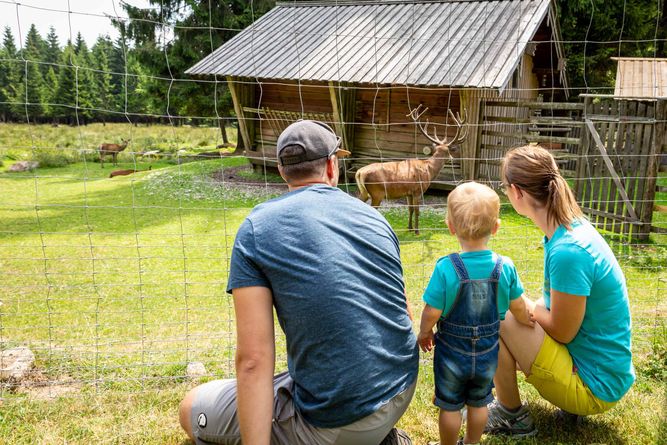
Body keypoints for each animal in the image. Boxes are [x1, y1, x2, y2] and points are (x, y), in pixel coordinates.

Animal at [354, 105, 470, 236]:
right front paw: (417, 231)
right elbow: (417, 210)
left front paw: (409, 228)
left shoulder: (408, 192)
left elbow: (410, 209)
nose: (451, 159)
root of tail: (359, 173)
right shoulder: (418, 190)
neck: (429, 170)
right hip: (377, 192)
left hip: (364, 192)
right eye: (449, 151)